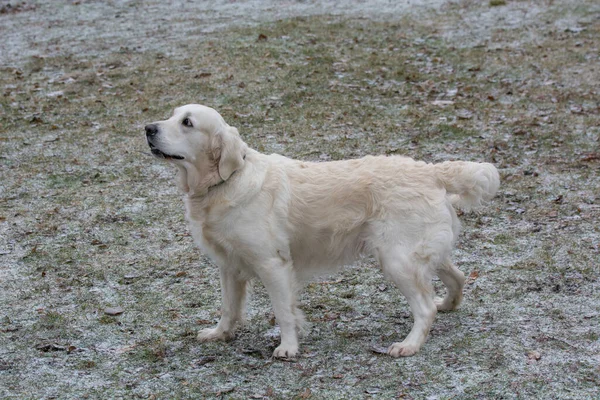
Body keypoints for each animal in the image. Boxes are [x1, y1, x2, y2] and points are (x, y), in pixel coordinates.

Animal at [143, 104, 500, 358]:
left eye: (187, 123)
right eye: (172, 115)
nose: (148, 128)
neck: (225, 181)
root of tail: (431, 171)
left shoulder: (272, 264)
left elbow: (284, 310)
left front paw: (288, 347)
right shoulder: (229, 265)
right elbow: (229, 307)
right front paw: (219, 333)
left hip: (397, 258)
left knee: (424, 308)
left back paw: (409, 345)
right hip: (420, 252)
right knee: (457, 277)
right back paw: (447, 304)